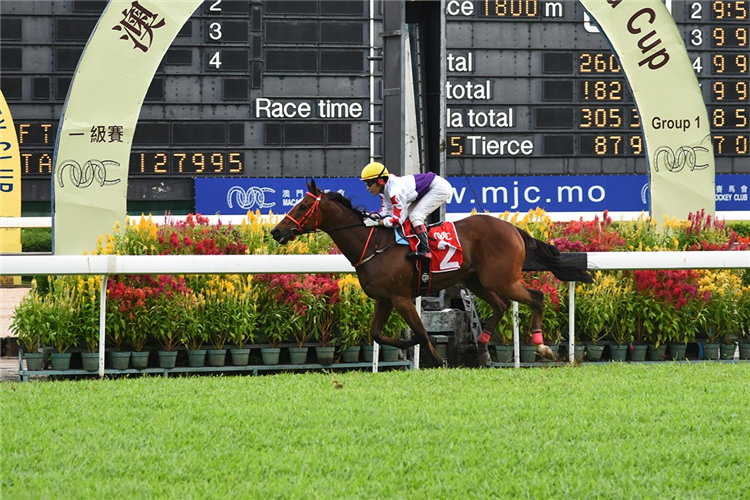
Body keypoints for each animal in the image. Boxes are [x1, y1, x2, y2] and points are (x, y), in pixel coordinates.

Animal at [270, 178, 592, 366]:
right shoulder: (384, 299)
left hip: (501, 279)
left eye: (302, 206)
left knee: (536, 297)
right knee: (501, 305)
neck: (373, 244)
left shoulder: (400, 298)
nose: (276, 231)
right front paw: (406, 344)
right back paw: (483, 345)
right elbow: (377, 334)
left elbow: (422, 331)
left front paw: (437, 359)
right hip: (477, 280)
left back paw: (541, 346)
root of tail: (513, 228)